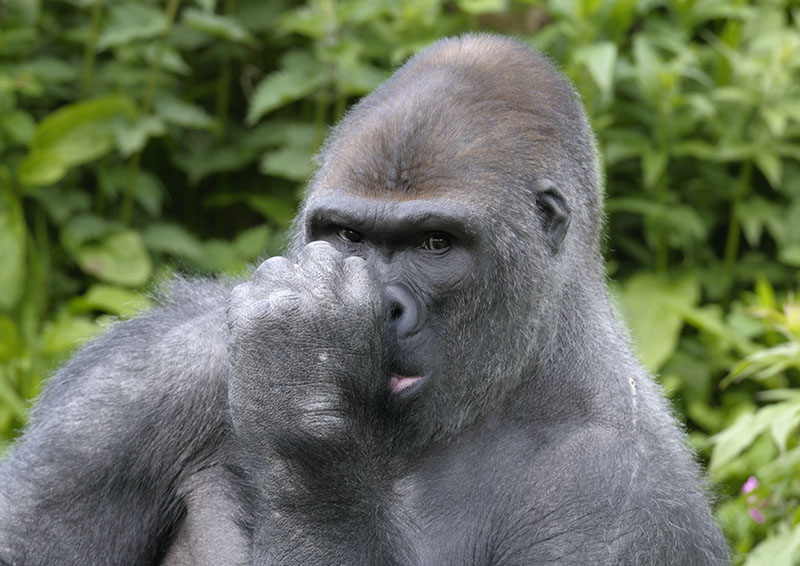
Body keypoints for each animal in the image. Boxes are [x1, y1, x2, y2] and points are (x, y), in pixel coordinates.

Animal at [0, 34, 729, 565]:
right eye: (347, 235)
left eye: (436, 244)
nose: (386, 307)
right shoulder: (133, 382)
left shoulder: (623, 495)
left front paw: (304, 386)